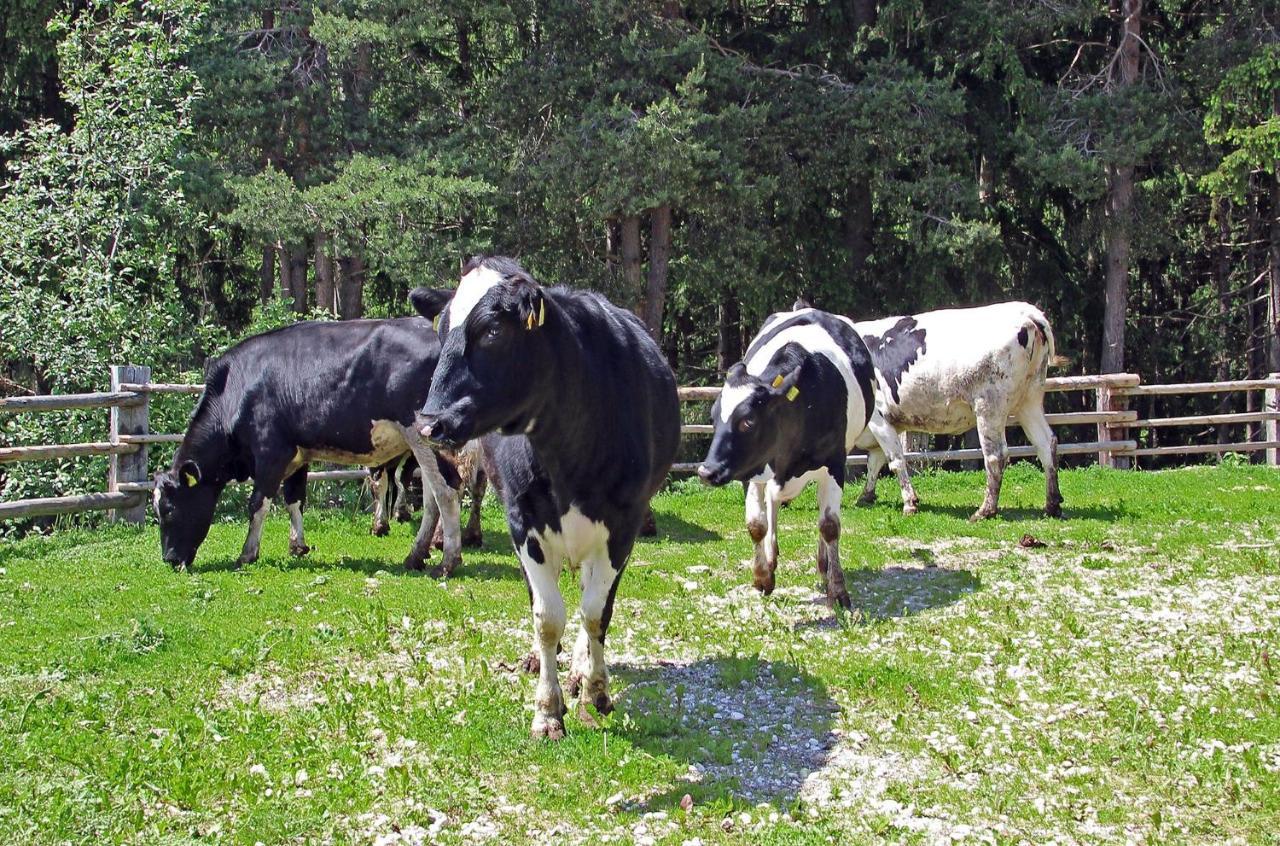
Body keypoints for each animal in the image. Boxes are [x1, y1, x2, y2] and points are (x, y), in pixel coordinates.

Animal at [154, 317, 465, 573]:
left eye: (168, 509)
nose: (169, 559)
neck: (237, 389)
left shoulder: (271, 454)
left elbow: (258, 504)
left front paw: (247, 554)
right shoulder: (298, 456)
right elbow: (294, 499)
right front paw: (297, 545)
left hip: (421, 434)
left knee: (446, 490)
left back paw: (448, 561)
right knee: (431, 496)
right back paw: (417, 555)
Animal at [417, 254, 680, 737]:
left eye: (492, 331)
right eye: (442, 332)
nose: (430, 422)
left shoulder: (623, 525)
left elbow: (595, 612)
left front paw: (594, 690)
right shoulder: (524, 522)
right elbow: (546, 617)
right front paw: (546, 709)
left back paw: (578, 669)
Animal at [696, 303, 906, 606]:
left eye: (748, 421)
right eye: (714, 418)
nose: (706, 471)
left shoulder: (835, 464)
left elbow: (829, 525)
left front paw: (838, 589)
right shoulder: (752, 468)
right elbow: (756, 524)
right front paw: (762, 577)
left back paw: (822, 564)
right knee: (772, 503)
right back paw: (772, 556)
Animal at [849, 300, 1059, 517]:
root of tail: (1027, 312)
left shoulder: (879, 418)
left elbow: (896, 460)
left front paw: (909, 503)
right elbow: (875, 462)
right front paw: (865, 496)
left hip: (990, 405)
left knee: (996, 455)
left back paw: (985, 510)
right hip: (1030, 399)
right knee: (1046, 443)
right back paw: (1052, 505)